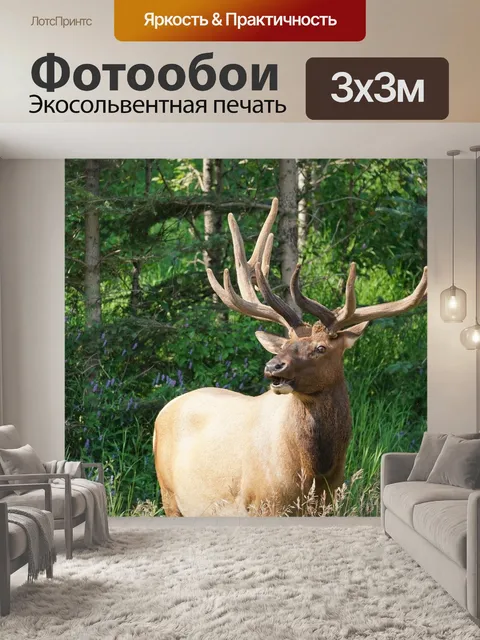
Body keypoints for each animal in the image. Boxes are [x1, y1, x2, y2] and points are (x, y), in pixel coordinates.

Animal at [153, 198, 427, 516]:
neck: (315, 473)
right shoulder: (263, 504)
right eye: (284, 344)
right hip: (169, 495)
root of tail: (165, 409)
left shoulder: (329, 504)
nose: (273, 366)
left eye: (321, 348)